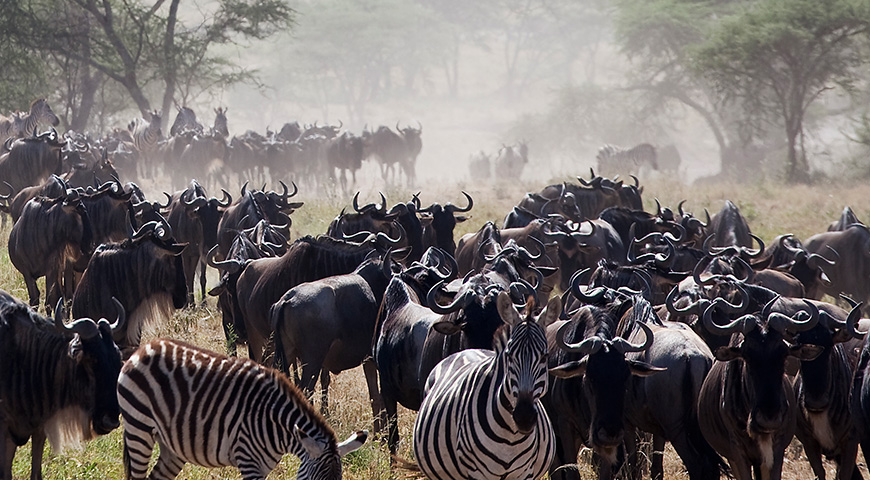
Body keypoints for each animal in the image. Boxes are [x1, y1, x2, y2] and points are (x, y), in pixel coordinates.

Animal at [116, 338, 368, 480]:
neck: (276, 423)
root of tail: (145, 347)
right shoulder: (247, 459)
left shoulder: (263, 467)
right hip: (139, 428)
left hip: (172, 446)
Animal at [414, 292, 564, 480]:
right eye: (509, 355)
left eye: (545, 356)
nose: (524, 417)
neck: (511, 437)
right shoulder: (477, 472)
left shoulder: (524, 472)